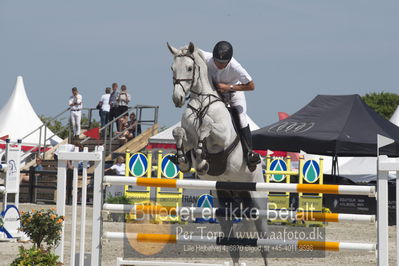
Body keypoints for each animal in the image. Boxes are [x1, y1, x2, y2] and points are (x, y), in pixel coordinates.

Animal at [168, 42, 268, 264]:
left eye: (189, 68)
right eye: (172, 69)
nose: (177, 99)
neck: (201, 103)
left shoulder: (222, 136)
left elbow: (207, 127)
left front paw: (203, 157)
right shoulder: (188, 136)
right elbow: (180, 133)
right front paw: (184, 159)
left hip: (258, 204)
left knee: (264, 245)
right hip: (223, 204)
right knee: (233, 247)